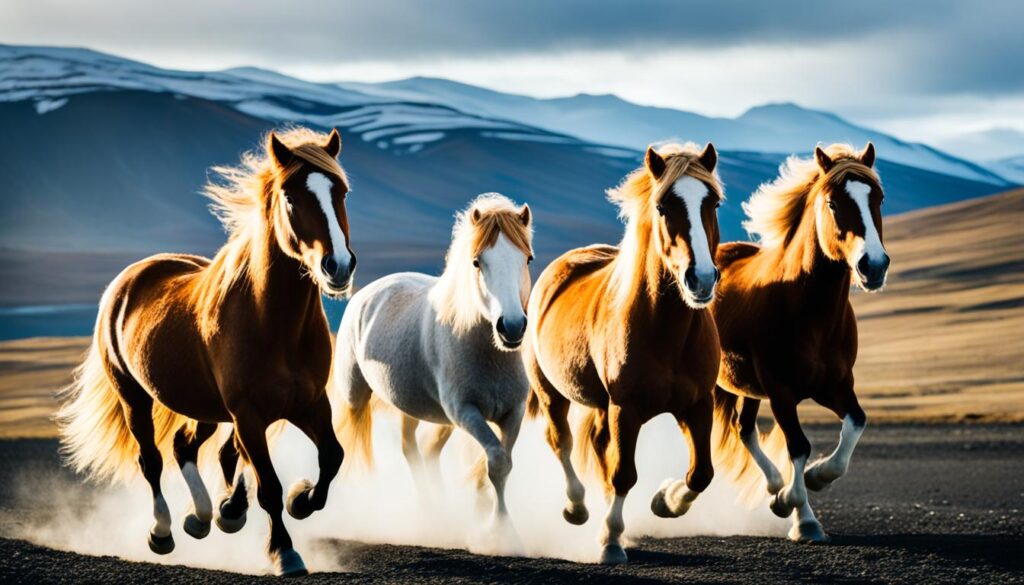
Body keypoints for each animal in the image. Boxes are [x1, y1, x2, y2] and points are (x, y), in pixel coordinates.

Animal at [55, 127, 355, 576]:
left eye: (342, 192)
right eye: (290, 198)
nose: (338, 267)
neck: (274, 322)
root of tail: (127, 280)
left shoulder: (309, 403)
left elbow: (332, 457)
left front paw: (298, 500)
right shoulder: (248, 415)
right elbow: (268, 484)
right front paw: (284, 552)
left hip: (204, 407)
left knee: (185, 445)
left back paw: (203, 516)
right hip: (134, 397)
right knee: (152, 460)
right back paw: (163, 532)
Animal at [332, 193, 534, 533]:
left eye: (527, 259)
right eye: (477, 262)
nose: (512, 327)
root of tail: (367, 292)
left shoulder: (513, 413)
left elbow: (500, 463)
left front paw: (490, 518)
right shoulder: (466, 413)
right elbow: (496, 461)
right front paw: (500, 530)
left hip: (418, 409)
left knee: (416, 449)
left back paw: (436, 509)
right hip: (355, 397)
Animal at [523, 143, 723, 564]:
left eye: (712, 202)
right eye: (663, 205)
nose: (701, 279)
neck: (666, 331)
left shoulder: (697, 405)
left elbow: (701, 473)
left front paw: (665, 501)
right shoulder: (626, 409)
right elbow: (623, 474)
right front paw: (611, 541)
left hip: (602, 406)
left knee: (598, 445)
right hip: (552, 394)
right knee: (561, 442)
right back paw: (577, 508)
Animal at [711, 142, 889, 542]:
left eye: (878, 198)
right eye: (833, 203)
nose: (874, 266)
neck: (810, 315)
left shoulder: (836, 386)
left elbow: (856, 422)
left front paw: (816, 478)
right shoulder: (781, 391)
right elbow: (798, 446)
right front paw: (799, 514)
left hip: (748, 389)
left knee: (744, 429)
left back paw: (774, 483)